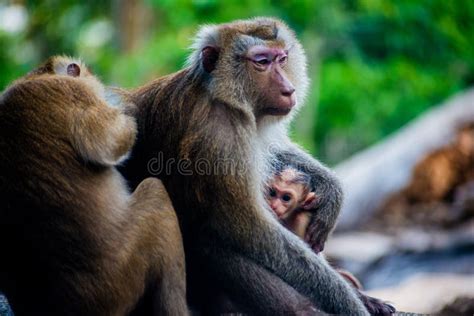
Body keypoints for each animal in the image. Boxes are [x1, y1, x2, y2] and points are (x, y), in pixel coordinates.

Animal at [120, 17, 394, 316]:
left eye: (282, 59)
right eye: (262, 62)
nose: (288, 89)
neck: (224, 97)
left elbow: (272, 150)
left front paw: (331, 187)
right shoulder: (219, 135)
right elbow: (253, 232)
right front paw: (349, 302)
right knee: (212, 241)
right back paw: (302, 308)